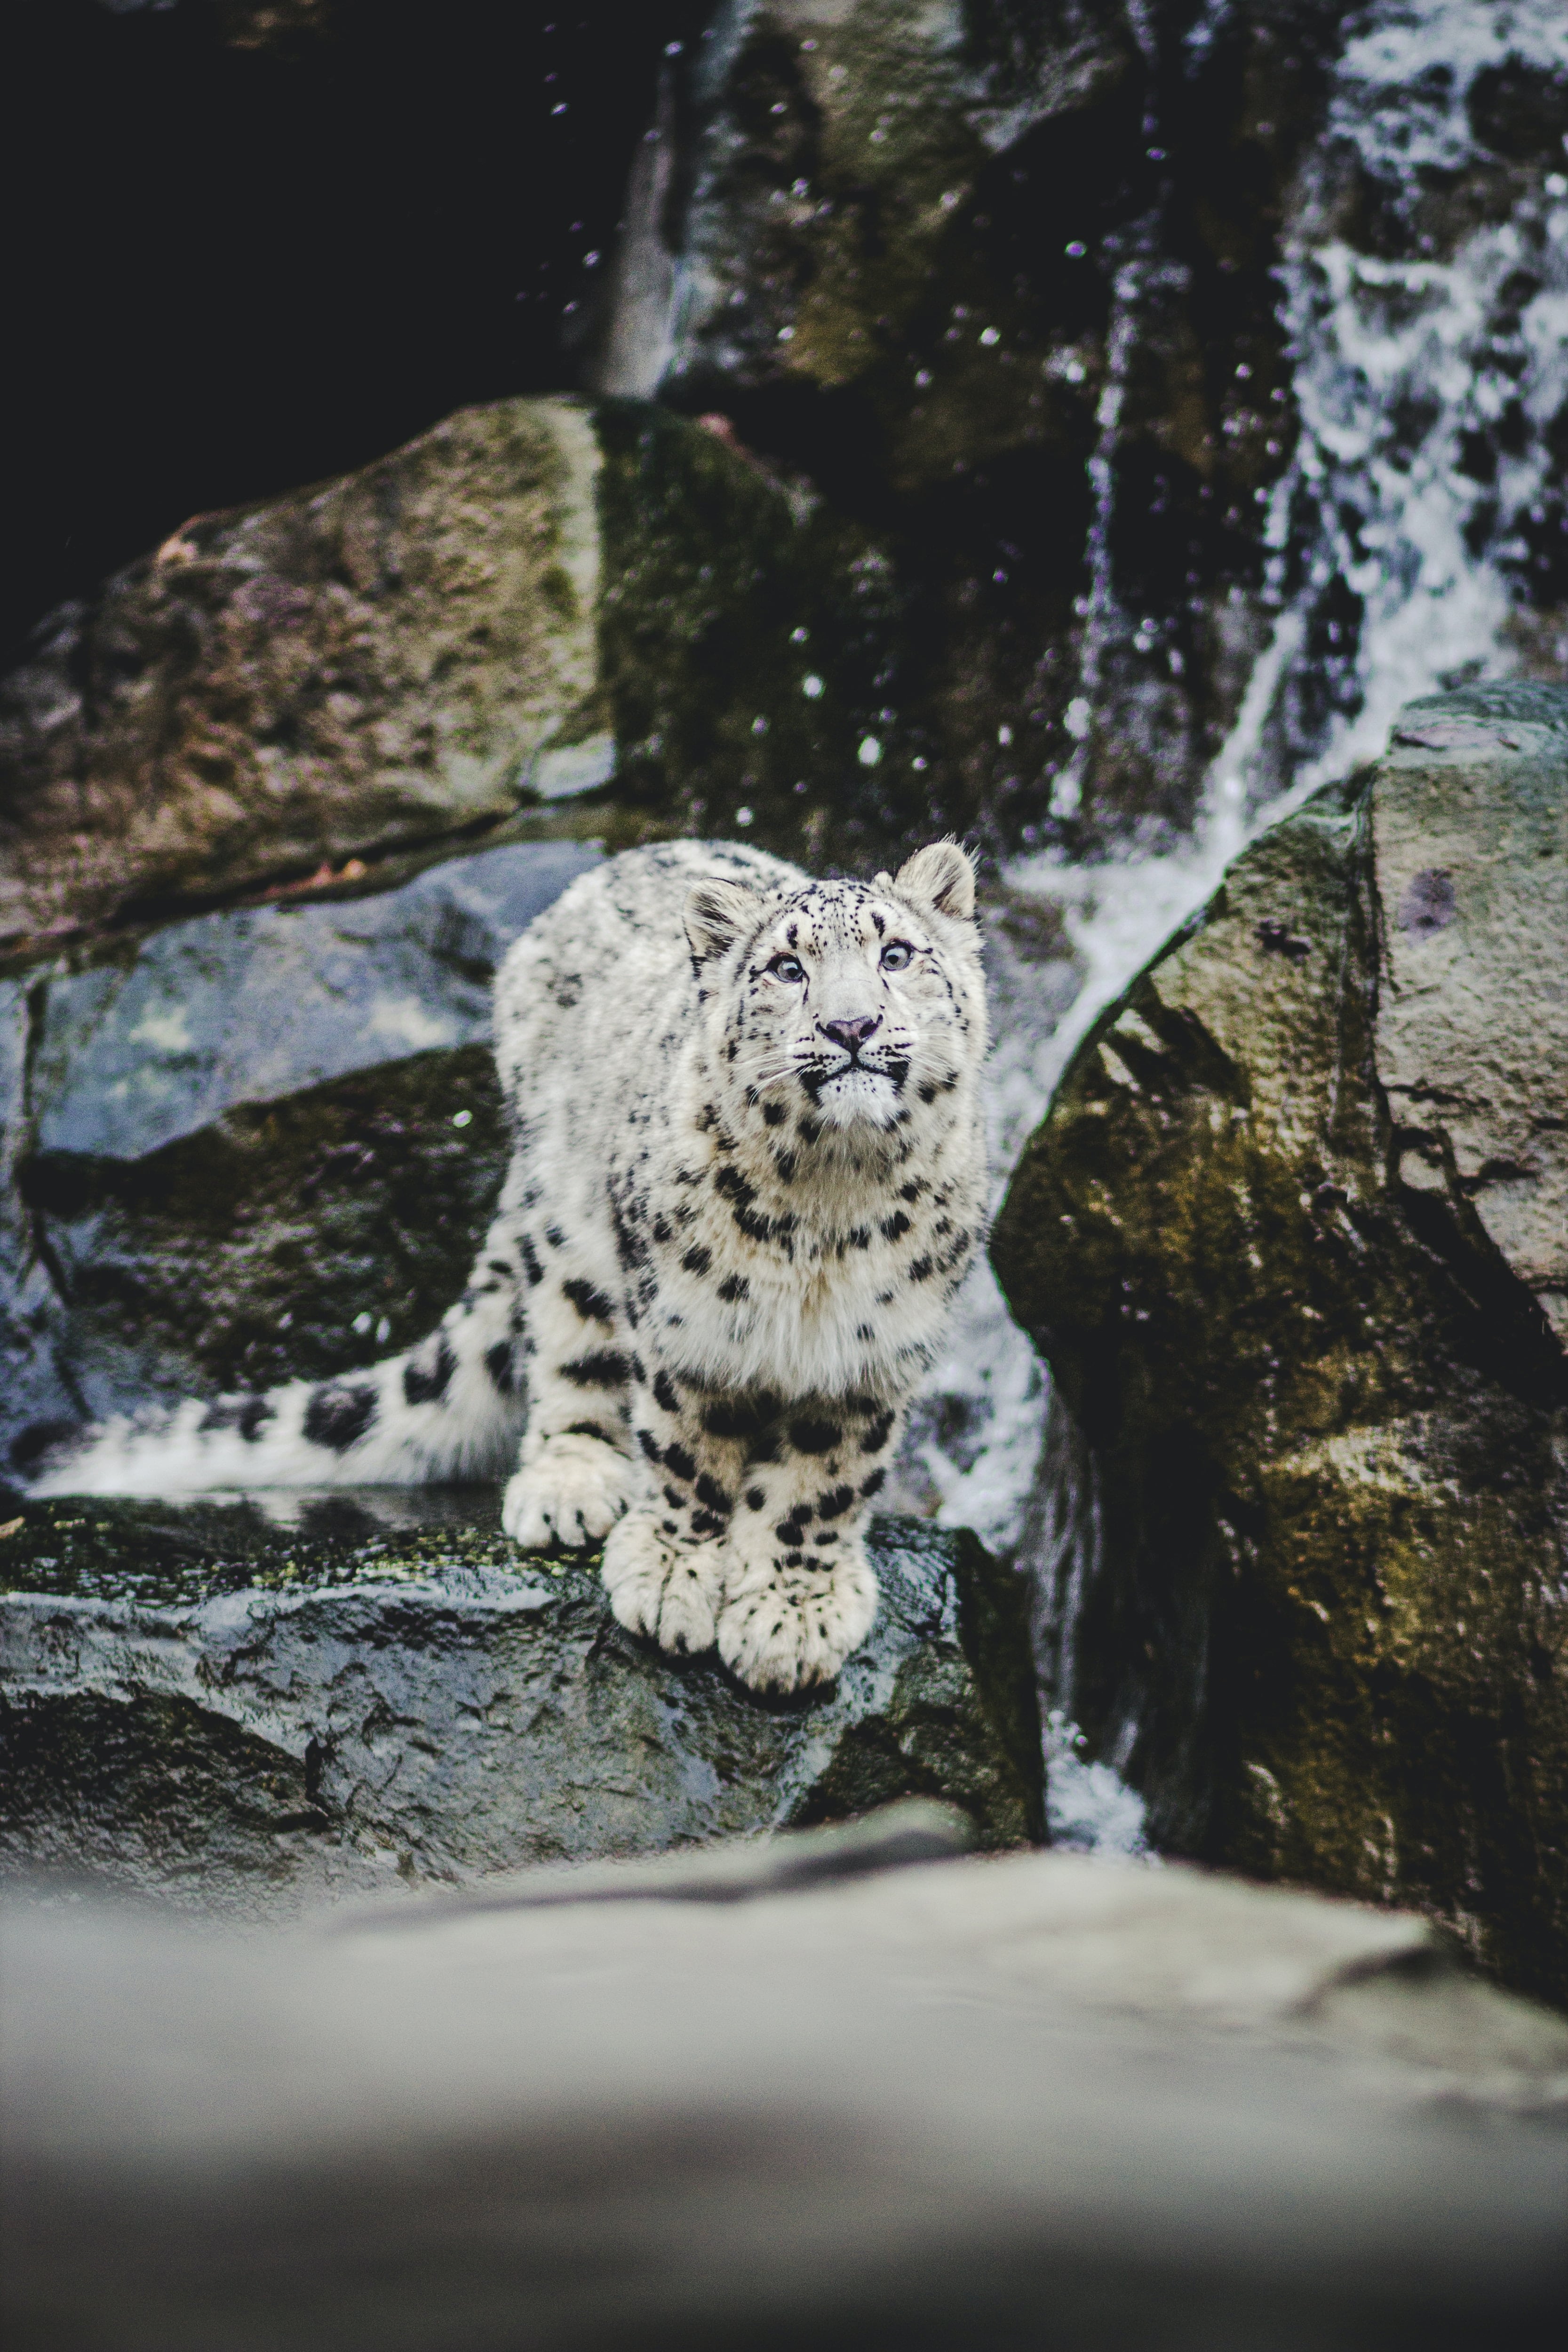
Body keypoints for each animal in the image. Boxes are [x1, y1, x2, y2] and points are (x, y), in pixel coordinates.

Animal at [34, 838, 988, 1691]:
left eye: (897, 955)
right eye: (787, 969)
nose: (851, 1025)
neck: (830, 1208)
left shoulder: (872, 1353)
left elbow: (823, 1484)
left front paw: (793, 1615)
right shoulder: (686, 1323)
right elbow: (686, 1449)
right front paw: (674, 1574)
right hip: (570, 1231)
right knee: (568, 1350)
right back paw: (569, 1485)